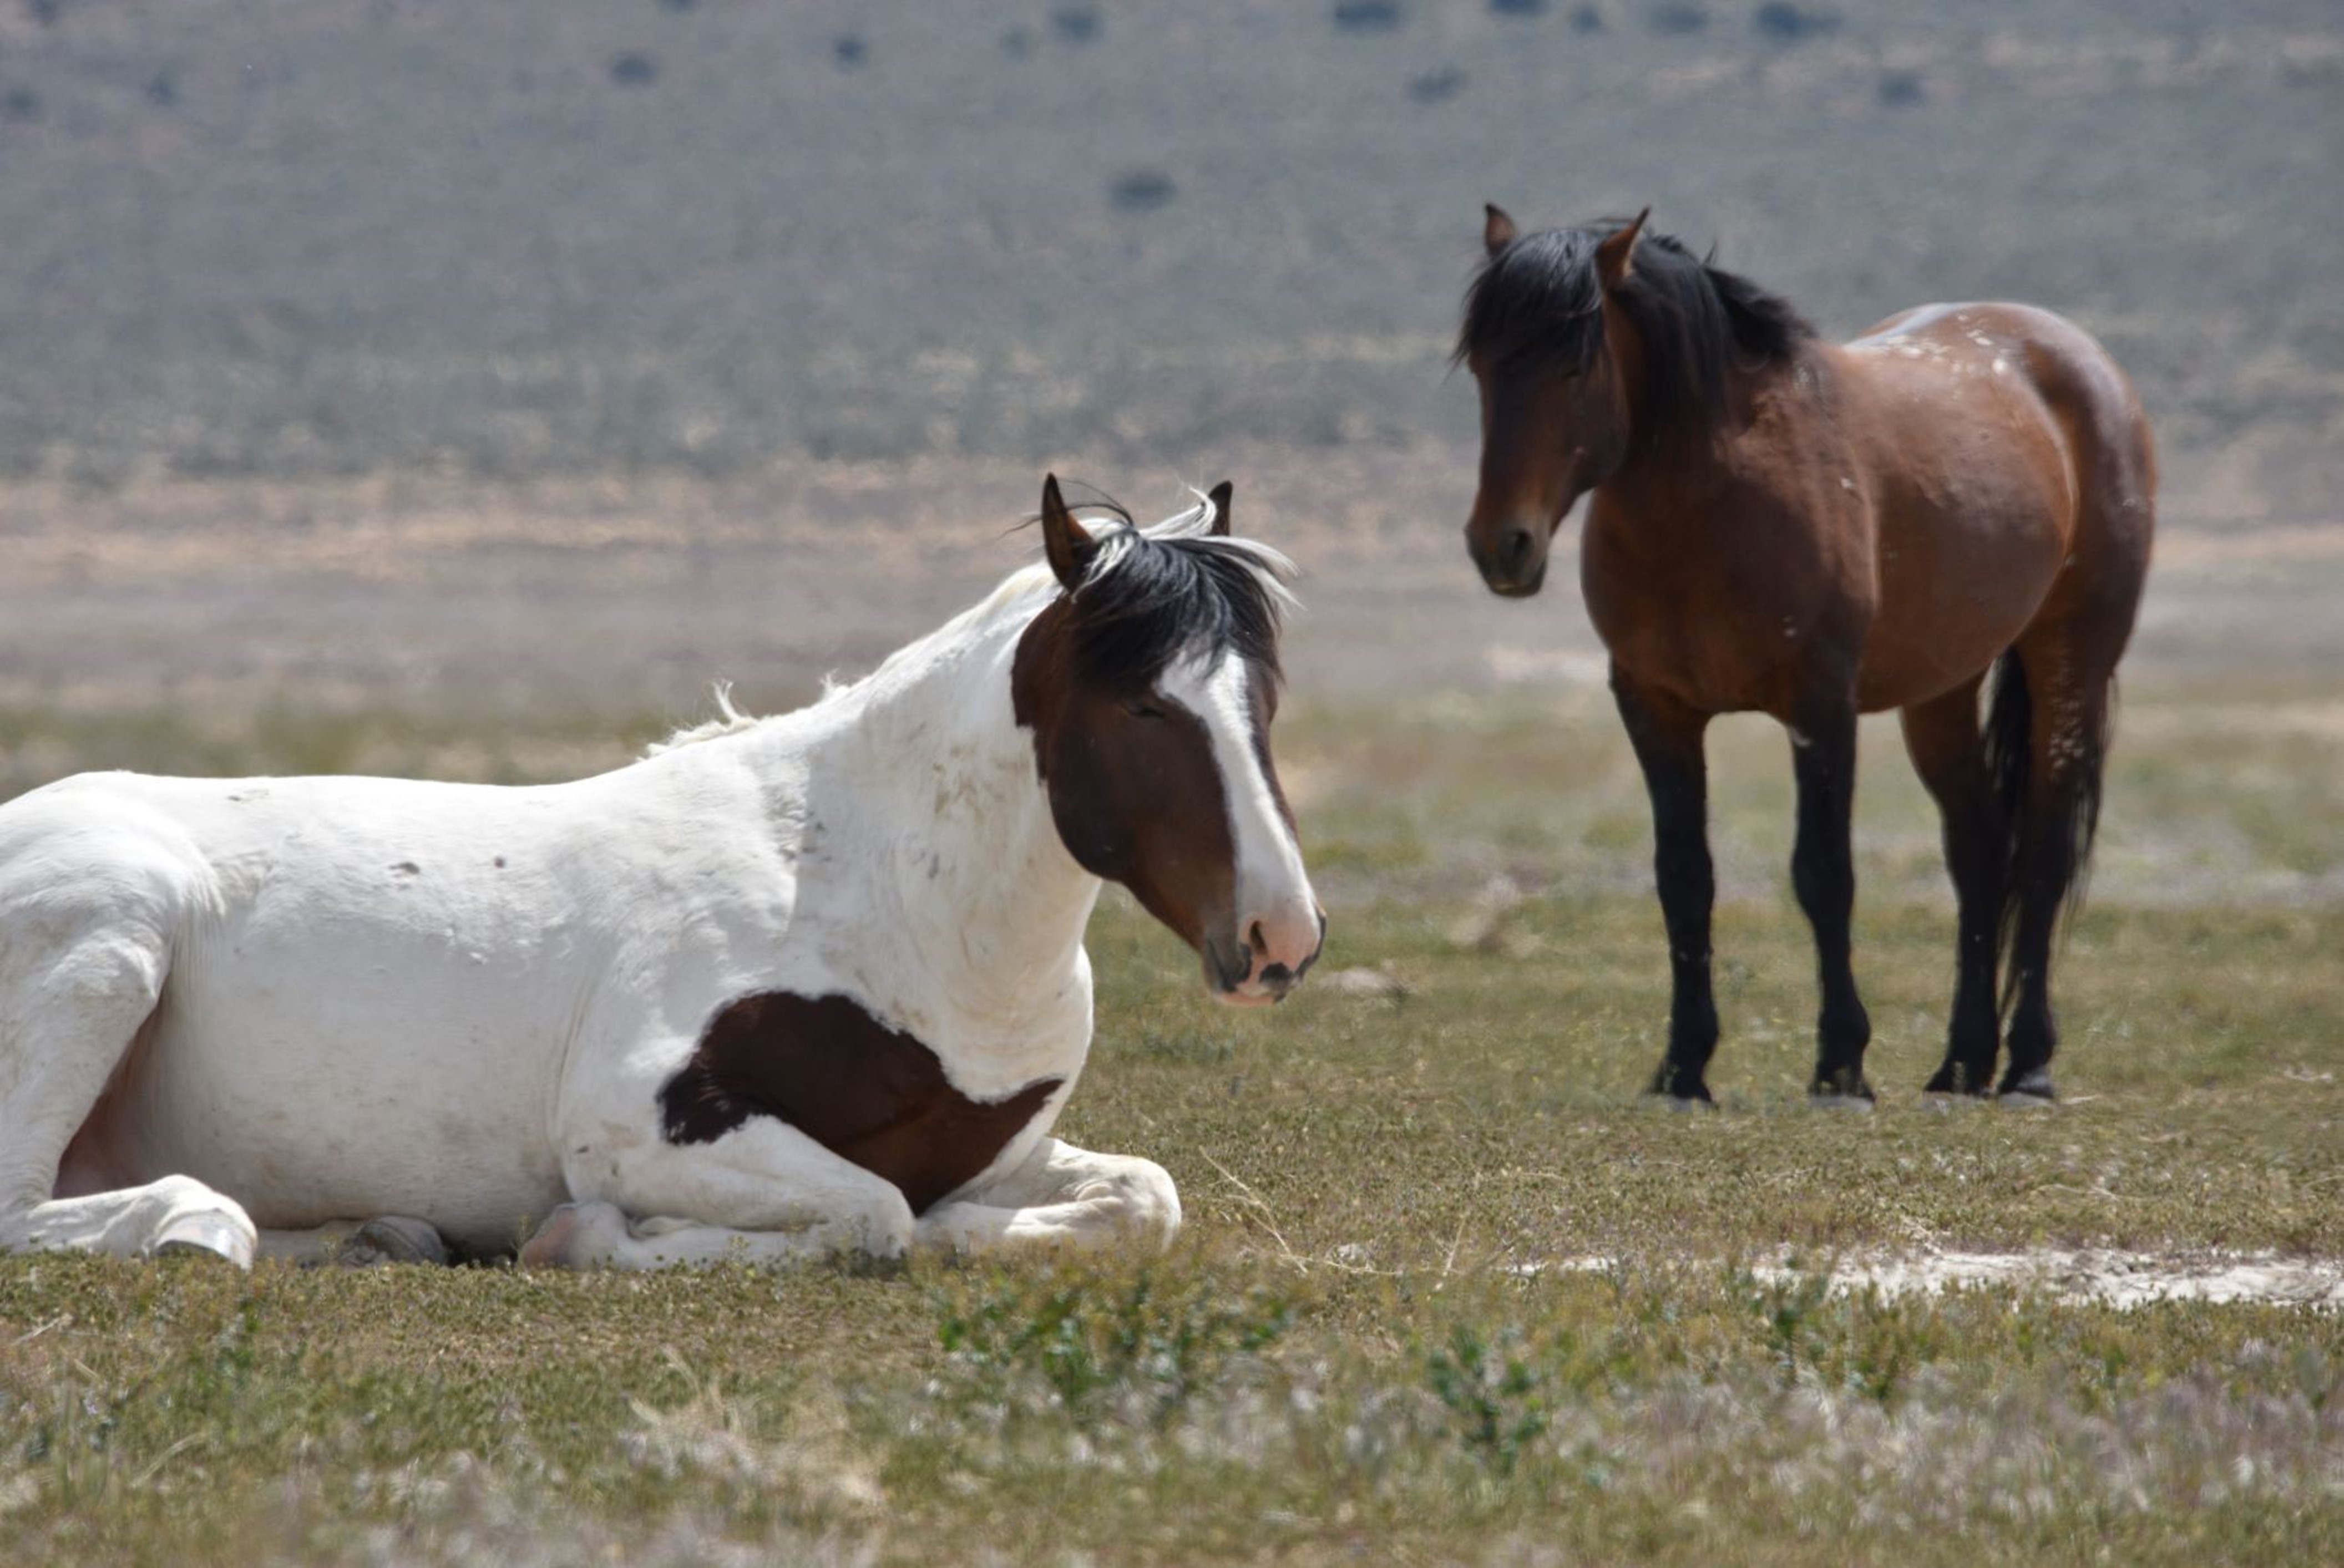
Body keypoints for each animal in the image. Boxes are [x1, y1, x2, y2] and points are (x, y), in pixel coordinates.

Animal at [0, 478, 1322, 1275]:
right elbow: (876, 1216)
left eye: (1264, 696)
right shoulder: (644, 1128)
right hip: (114, 940)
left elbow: (1135, 1197)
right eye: (1141, 702)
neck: (882, 903)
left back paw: (374, 1235)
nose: (1282, 937)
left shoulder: (1000, 1149)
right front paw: (589, 1239)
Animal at [1453, 207, 2147, 1106]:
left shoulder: (1820, 706)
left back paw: (2027, 1064)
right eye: (1481, 364)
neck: (1717, 500)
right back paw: (1960, 1065)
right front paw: (1683, 1067)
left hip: (2072, 657)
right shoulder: (1655, 709)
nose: (1501, 546)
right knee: (1977, 851)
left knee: (2046, 846)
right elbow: (1684, 879)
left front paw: (1841, 1064)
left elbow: (1823, 873)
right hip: (1942, 690)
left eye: (1574, 365)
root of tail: (2079, 359)